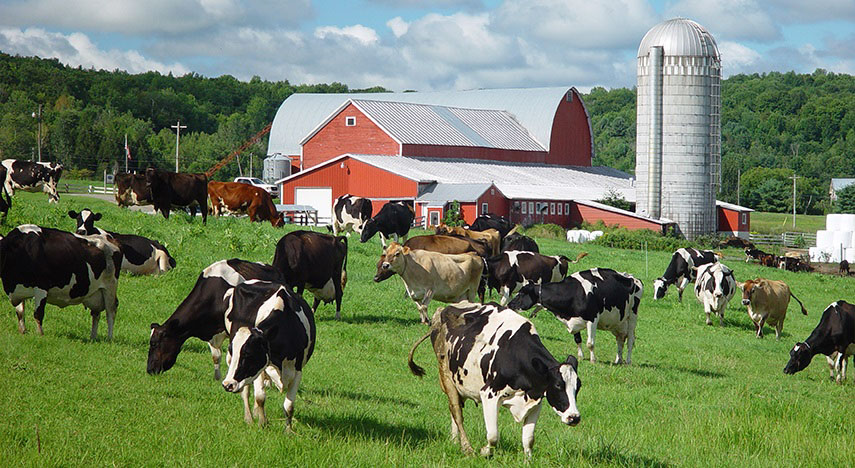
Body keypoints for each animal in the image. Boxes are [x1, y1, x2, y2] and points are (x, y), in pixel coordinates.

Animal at [222, 280, 316, 430]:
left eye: (248, 354)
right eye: (231, 350)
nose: (227, 385)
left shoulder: (297, 370)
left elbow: (289, 405)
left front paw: (288, 430)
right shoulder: (260, 367)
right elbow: (260, 397)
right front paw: (262, 423)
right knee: (246, 390)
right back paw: (249, 417)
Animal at [408, 300, 580, 458]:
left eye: (578, 387)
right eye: (558, 385)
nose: (574, 417)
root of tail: (442, 310)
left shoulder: (536, 400)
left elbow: (529, 439)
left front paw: (528, 461)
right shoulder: (489, 394)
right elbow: (493, 435)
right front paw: (485, 451)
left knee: (454, 410)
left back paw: (455, 441)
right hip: (446, 375)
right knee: (457, 412)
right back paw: (467, 447)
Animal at [508, 268, 640, 364]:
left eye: (521, 293)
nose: (509, 304)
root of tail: (632, 278)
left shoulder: (592, 319)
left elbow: (590, 343)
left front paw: (593, 360)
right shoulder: (574, 321)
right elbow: (578, 340)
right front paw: (580, 357)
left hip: (632, 316)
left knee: (630, 340)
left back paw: (628, 361)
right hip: (618, 322)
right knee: (620, 339)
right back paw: (618, 360)